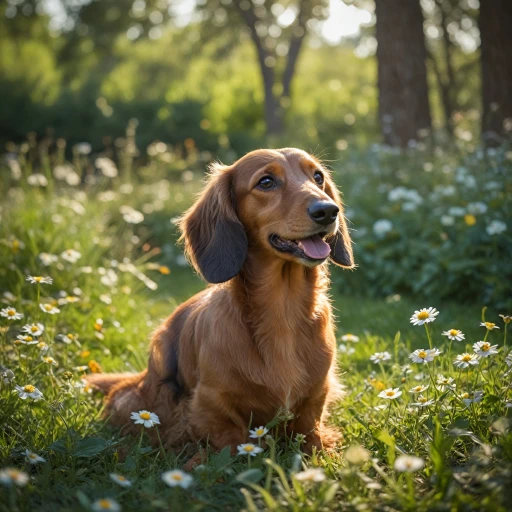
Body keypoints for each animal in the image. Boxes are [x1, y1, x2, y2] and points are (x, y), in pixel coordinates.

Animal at [87, 147, 352, 456]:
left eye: (318, 177)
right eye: (266, 182)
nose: (328, 211)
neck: (282, 310)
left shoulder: (317, 395)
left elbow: (311, 434)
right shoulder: (210, 401)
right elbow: (229, 440)